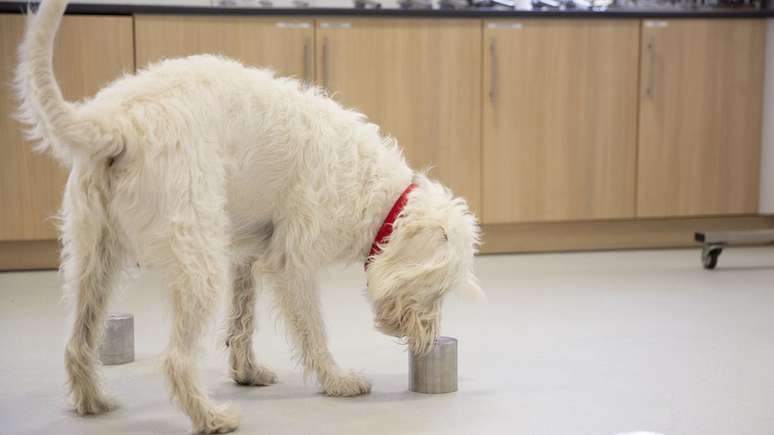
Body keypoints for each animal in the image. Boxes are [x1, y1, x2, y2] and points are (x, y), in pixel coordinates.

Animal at [16, 1, 478, 434]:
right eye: (437, 290)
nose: (427, 343)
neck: (378, 193)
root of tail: (117, 123)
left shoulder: (246, 255)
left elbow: (241, 320)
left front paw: (247, 372)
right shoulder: (293, 264)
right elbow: (314, 330)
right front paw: (338, 381)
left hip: (93, 259)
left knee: (77, 342)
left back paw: (93, 401)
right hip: (197, 265)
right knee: (176, 359)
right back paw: (210, 417)